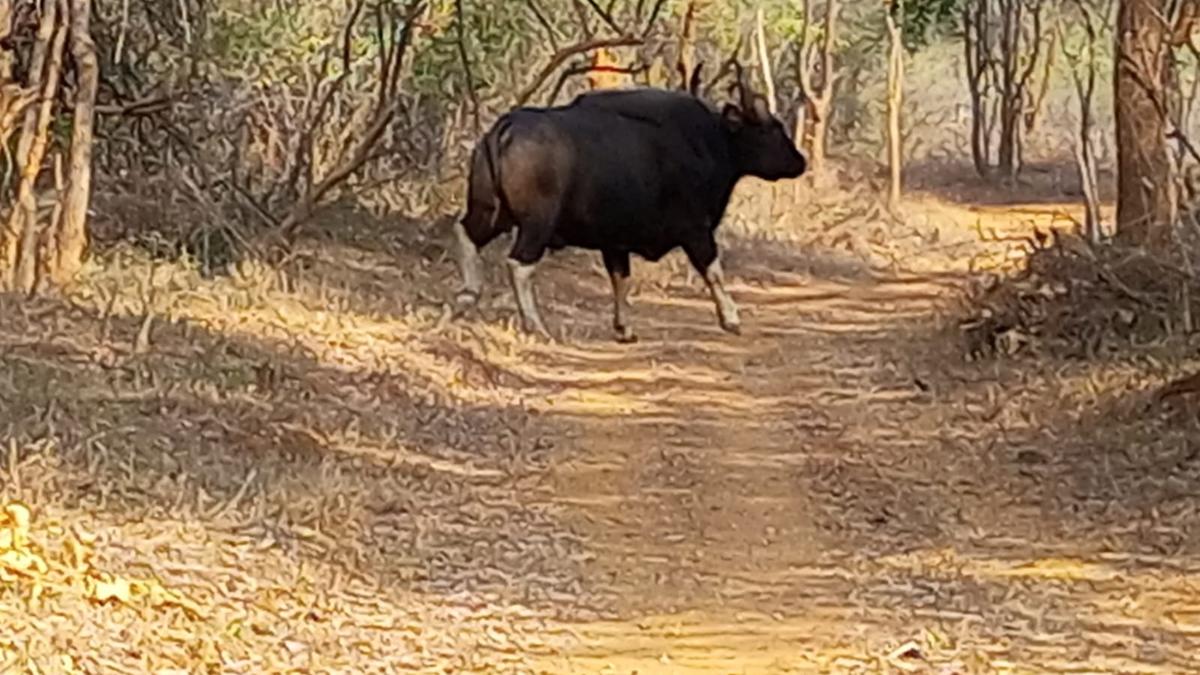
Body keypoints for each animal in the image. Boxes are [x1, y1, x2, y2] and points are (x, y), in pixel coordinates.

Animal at [453, 71, 807, 342]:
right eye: (772, 129)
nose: (799, 161)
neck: (711, 141)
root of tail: (504, 129)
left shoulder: (614, 241)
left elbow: (620, 278)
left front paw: (624, 327)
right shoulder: (695, 229)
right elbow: (713, 270)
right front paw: (731, 318)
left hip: (491, 211)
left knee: (465, 231)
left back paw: (469, 293)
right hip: (536, 224)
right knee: (519, 264)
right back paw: (535, 324)